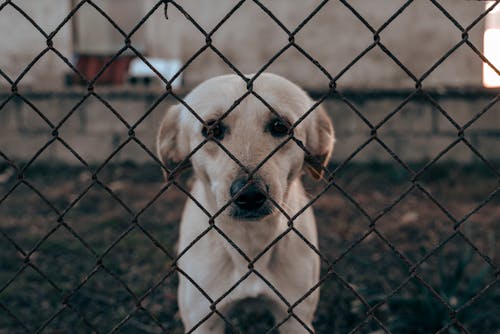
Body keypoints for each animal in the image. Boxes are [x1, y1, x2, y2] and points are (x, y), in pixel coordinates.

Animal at [158, 72, 334, 332]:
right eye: (212, 130)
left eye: (280, 126)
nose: (249, 195)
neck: (250, 242)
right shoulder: (203, 319)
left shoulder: (297, 317)